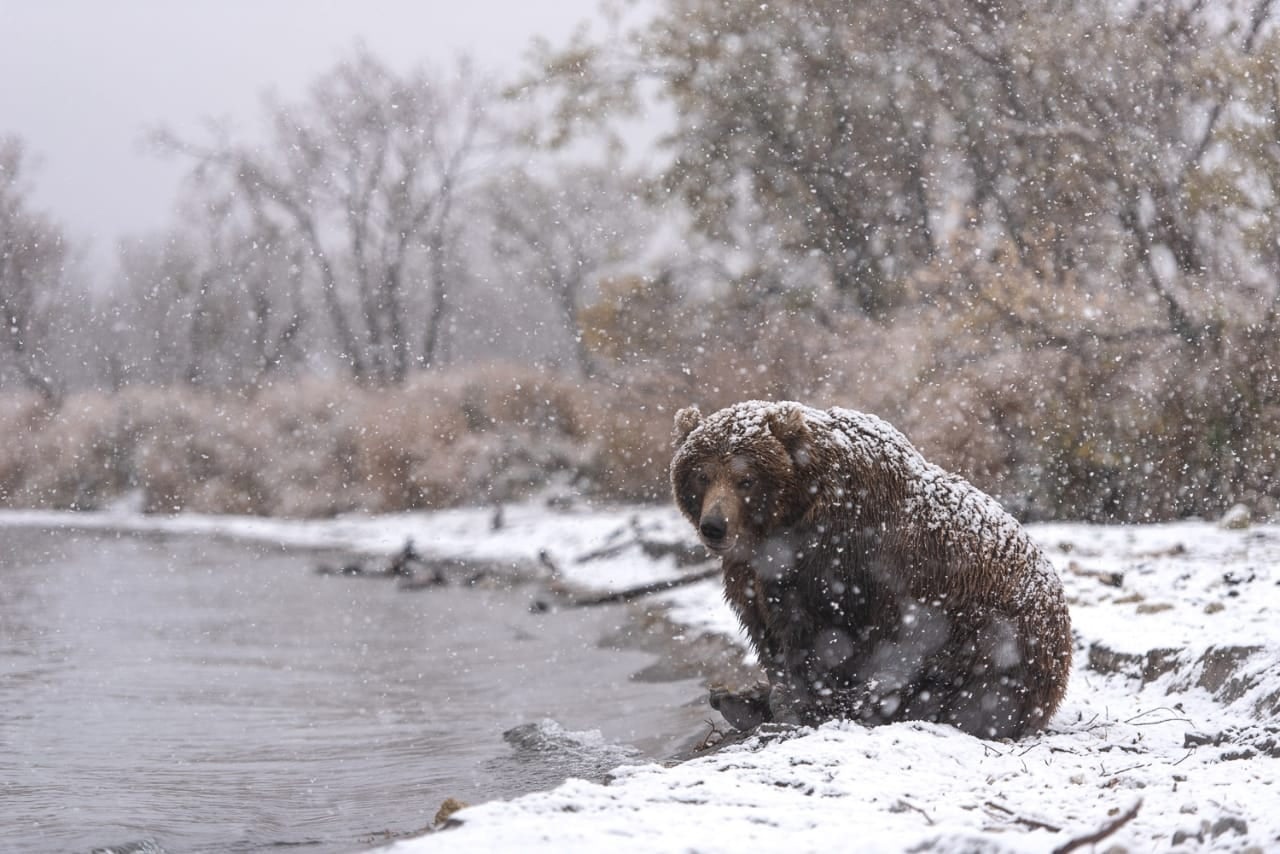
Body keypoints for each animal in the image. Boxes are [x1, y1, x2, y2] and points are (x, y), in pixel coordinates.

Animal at [670, 402, 1070, 742]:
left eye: (746, 478)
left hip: (993, 628)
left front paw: (796, 703)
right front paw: (762, 691)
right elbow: (765, 629)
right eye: (702, 476)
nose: (714, 526)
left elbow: (821, 634)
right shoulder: (751, 573)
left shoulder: (839, 553)